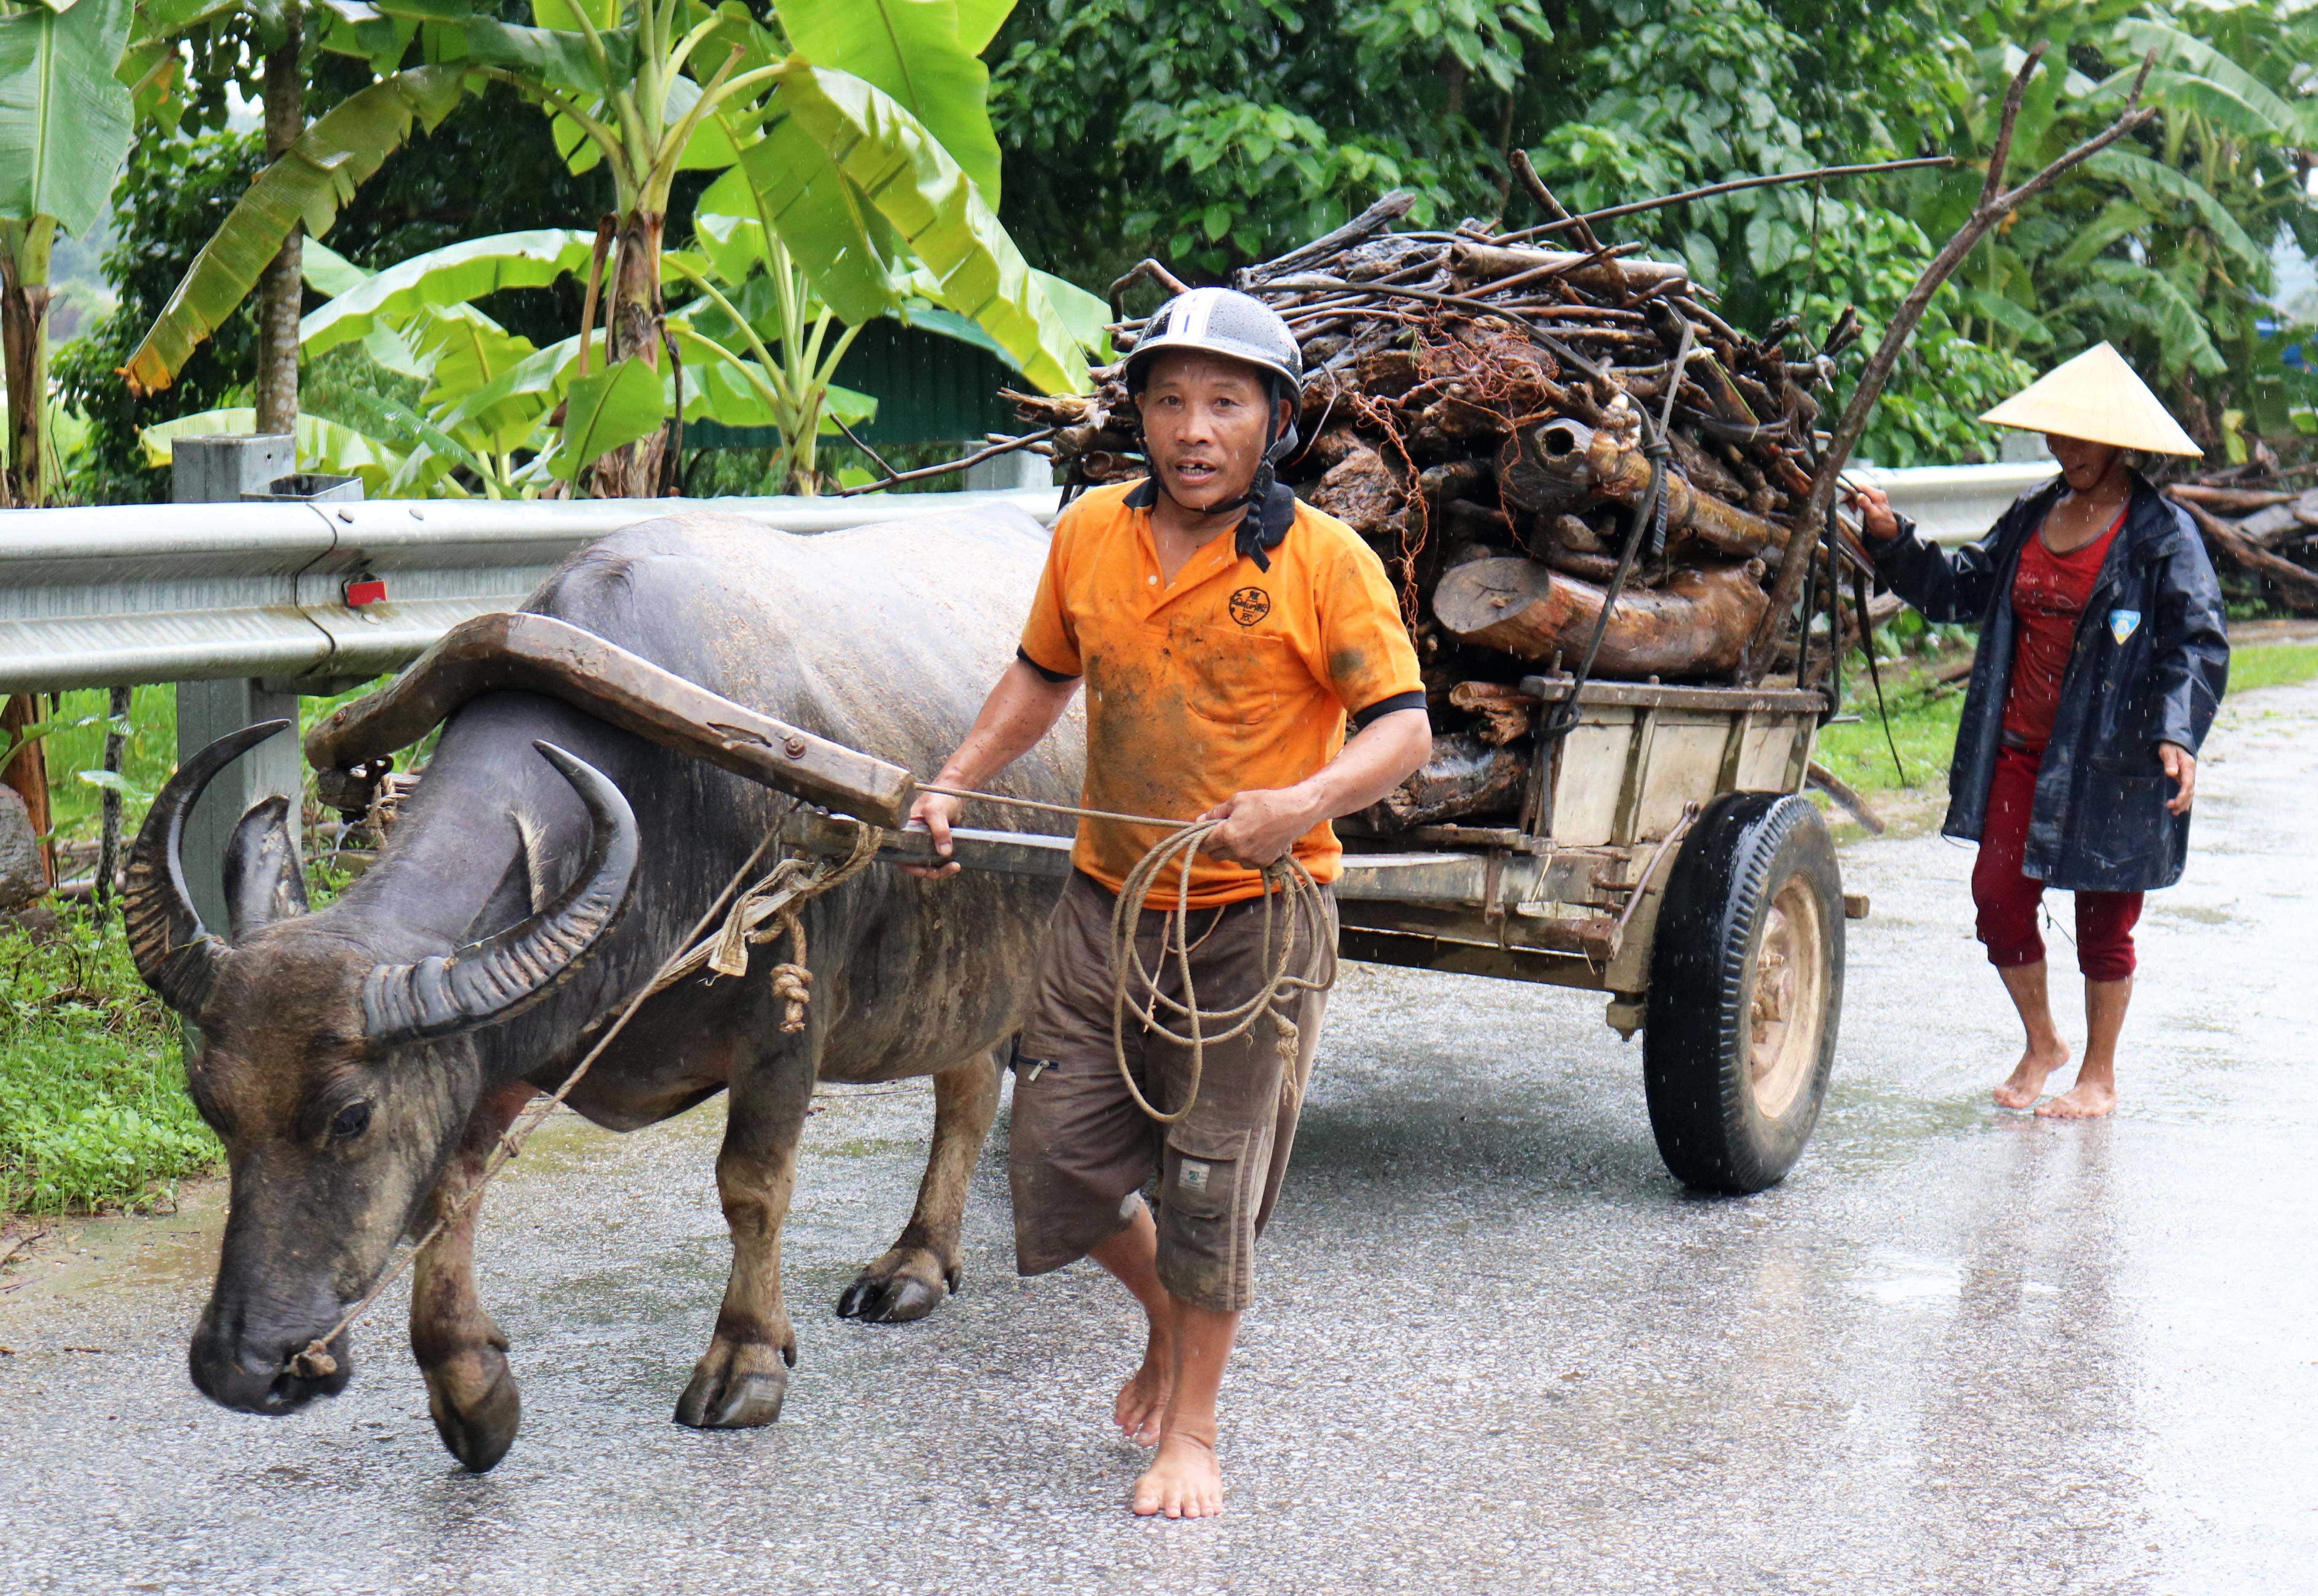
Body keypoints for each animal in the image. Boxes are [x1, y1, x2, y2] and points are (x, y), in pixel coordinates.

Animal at [133, 507, 1085, 1473]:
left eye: (352, 1116)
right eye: (209, 1103)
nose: (245, 1365)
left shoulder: (786, 1024)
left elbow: (753, 1184)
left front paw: (746, 1359)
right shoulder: (507, 1040)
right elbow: (450, 1194)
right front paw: (473, 1388)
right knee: (969, 1087)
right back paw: (918, 1263)